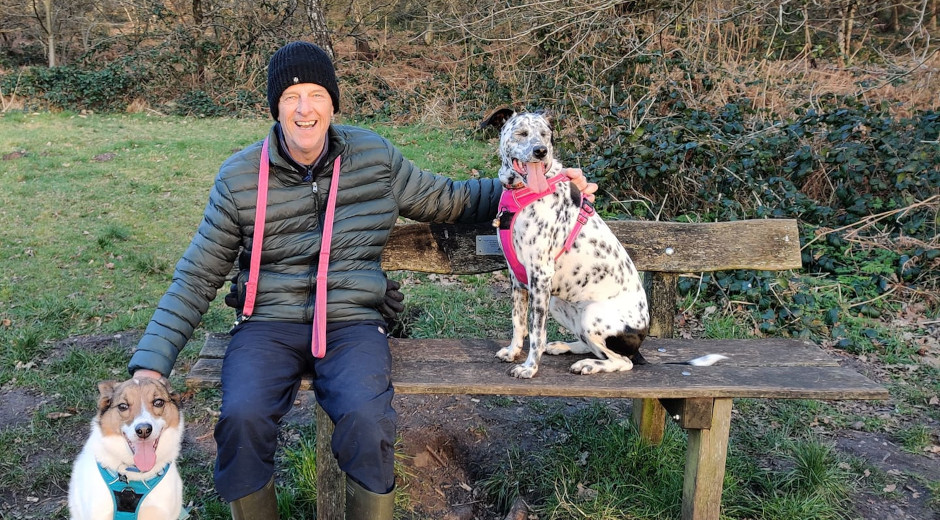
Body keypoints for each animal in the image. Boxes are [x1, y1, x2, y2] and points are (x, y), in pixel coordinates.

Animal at [482, 109, 648, 378]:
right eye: (522, 133)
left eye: (545, 134)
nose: (541, 151)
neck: (522, 191)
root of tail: (641, 338)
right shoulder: (517, 277)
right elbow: (518, 321)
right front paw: (513, 351)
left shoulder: (540, 276)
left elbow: (536, 332)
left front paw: (530, 367)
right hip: (560, 303)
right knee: (592, 346)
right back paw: (564, 347)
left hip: (590, 315)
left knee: (622, 361)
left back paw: (588, 365)